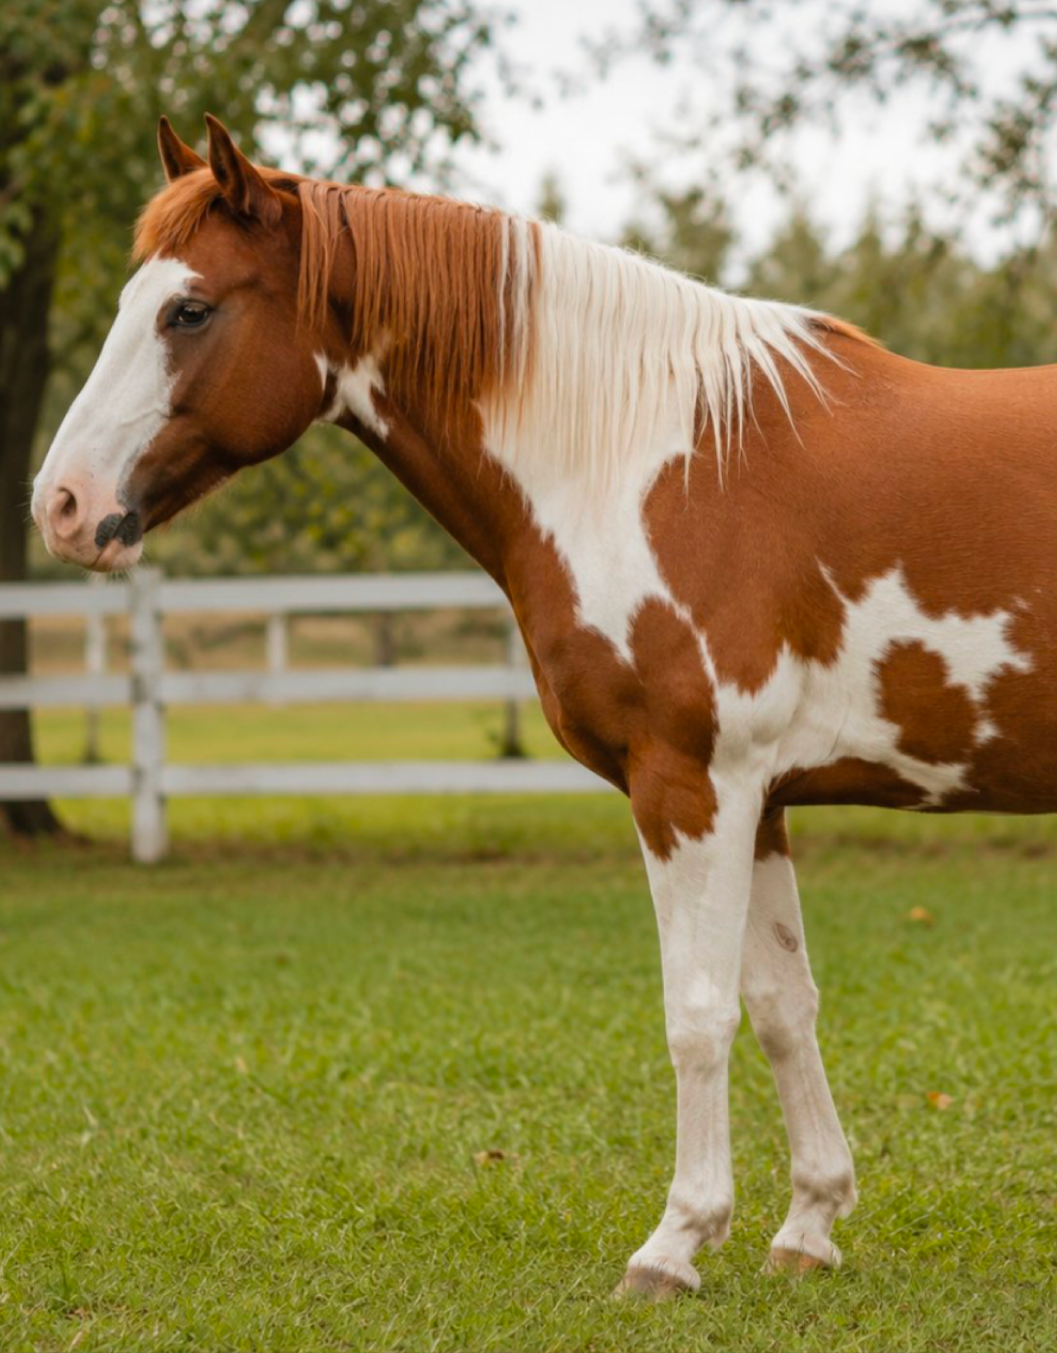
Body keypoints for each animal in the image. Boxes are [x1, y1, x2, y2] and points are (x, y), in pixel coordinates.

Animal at [31, 115, 1057, 1299]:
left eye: (188, 310)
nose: (62, 506)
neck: (658, 465)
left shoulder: (688, 786)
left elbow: (695, 1013)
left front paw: (673, 1244)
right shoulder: (758, 798)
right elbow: (779, 1006)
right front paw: (807, 1226)